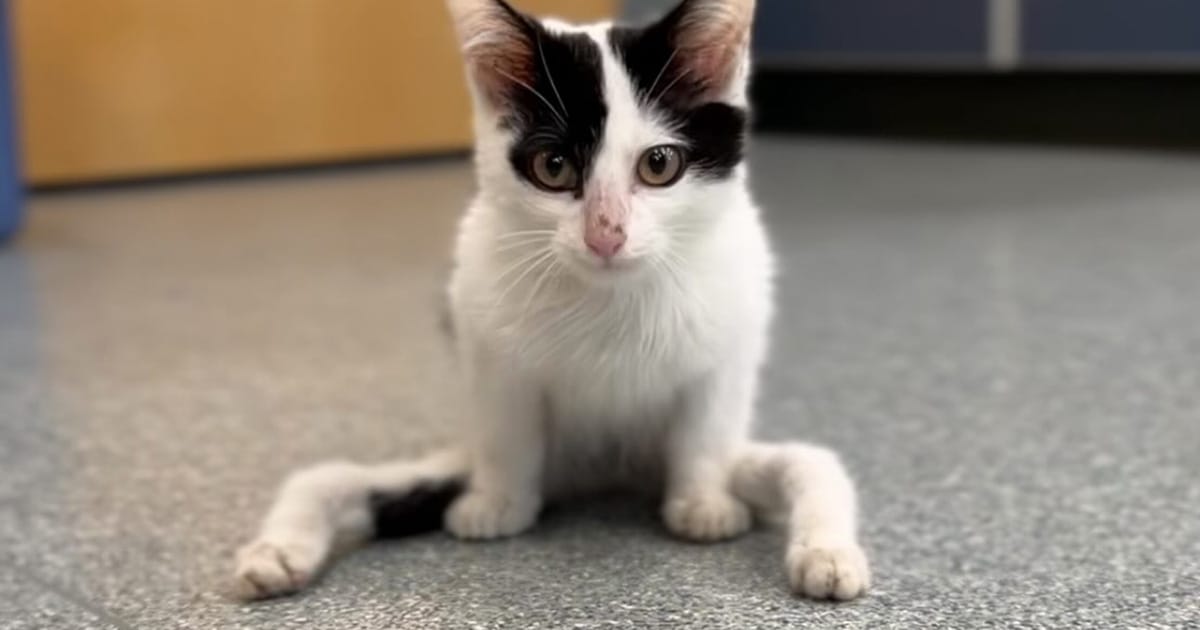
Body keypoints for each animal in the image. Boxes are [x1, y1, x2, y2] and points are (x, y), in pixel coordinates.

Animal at [231, 0, 873, 600]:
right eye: (554, 166)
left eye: (659, 164)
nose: (605, 235)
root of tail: (607, 473)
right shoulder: (483, 330)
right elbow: (506, 423)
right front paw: (499, 503)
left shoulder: (733, 328)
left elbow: (708, 424)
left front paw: (703, 502)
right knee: (329, 476)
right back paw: (277, 552)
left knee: (813, 462)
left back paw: (828, 555)